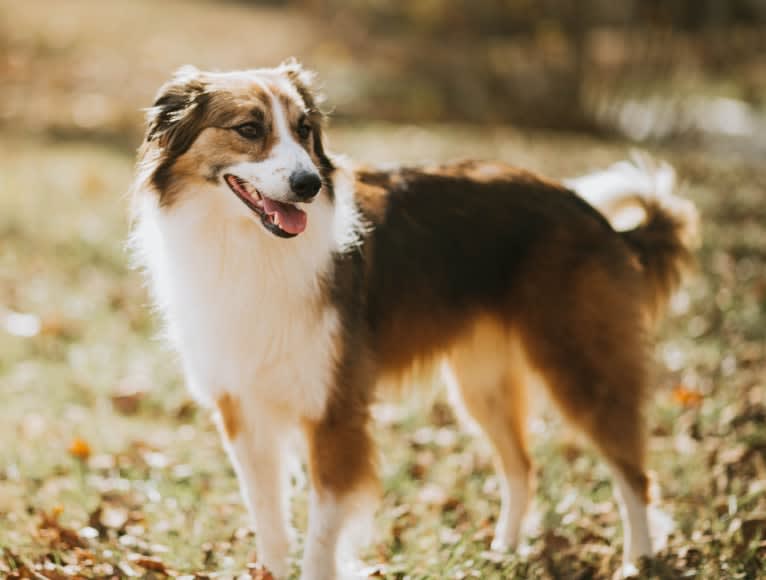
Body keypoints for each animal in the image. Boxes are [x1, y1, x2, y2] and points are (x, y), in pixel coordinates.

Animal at [130, 61, 704, 576]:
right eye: (249, 129)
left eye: (304, 129)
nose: (309, 184)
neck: (250, 249)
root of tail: (590, 212)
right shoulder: (243, 409)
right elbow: (269, 521)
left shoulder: (336, 412)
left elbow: (321, 536)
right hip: (482, 384)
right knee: (522, 466)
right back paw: (504, 550)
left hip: (582, 365)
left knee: (633, 473)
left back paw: (637, 560)